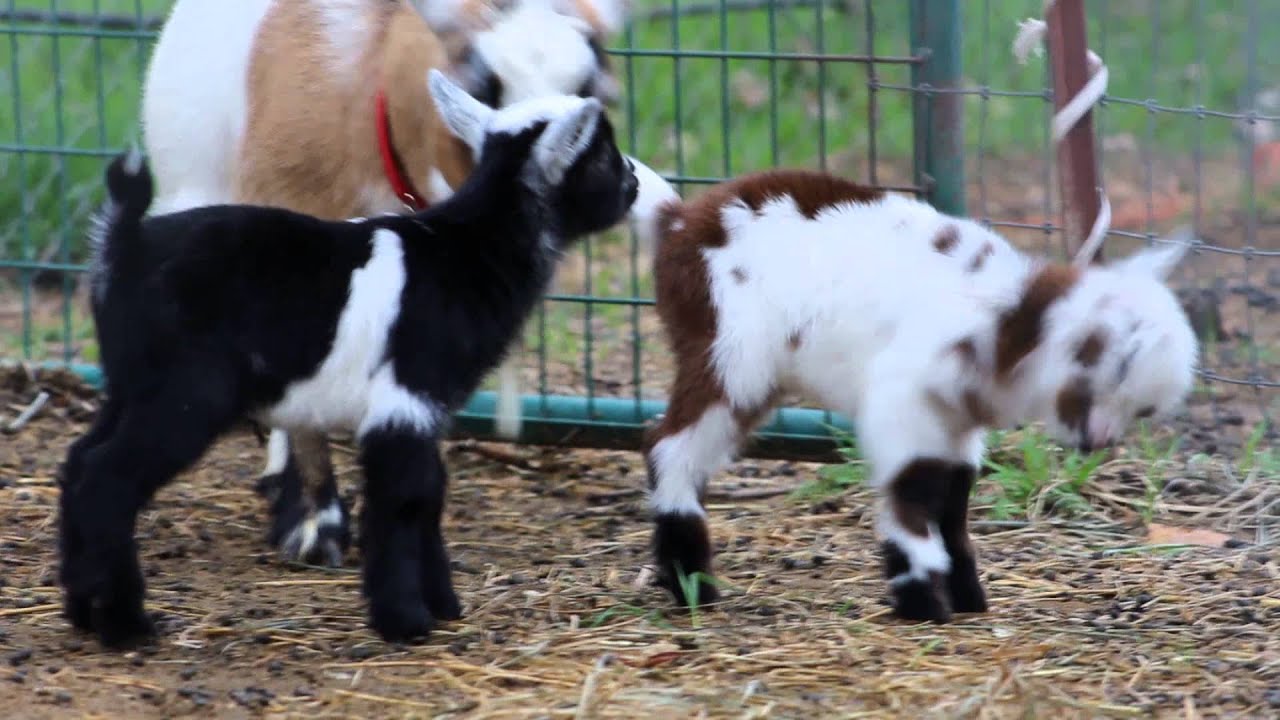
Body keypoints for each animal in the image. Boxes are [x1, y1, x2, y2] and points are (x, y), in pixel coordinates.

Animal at [60, 71, 652, 647]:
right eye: (602, 154)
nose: (634, 184)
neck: (467, 249)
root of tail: (124, 245)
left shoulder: (425, 409)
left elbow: (430, 493)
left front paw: (443, 605)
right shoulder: (403, 398)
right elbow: (405, 498)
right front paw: (404, 620)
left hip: (129, 381)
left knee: (78, 460)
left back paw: (81, 609)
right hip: (187, 391)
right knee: (108, 476)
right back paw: (126, 625)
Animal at [641, 169, 1198, 621]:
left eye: (1143, 411)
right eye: (1111, 370)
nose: (1100, 442)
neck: (1014, 324)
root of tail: (678, 221)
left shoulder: (957, 419)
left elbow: (953, 496)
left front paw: (966, 594)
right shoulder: (904, 398)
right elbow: (913, 486)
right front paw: (921, 599)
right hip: (731, 349)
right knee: (671, 445)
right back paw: (691, 584)